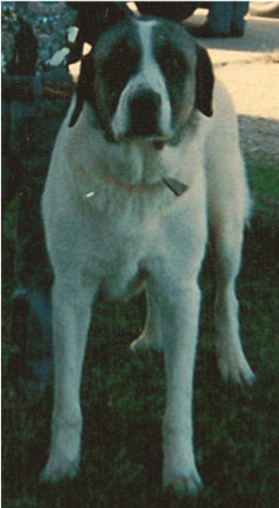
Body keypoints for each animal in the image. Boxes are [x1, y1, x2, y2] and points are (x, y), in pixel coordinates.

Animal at [41, 6, 256, 496]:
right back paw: (153, 337)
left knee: (225, 296)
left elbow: (178, 405)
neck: (135, 182)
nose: (143, 102)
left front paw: (180, 472)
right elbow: (67, 400)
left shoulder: (182, 292)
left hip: (226, 223)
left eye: (174, 64)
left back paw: (233, 362)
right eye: (119, 61)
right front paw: (61, 465)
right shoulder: (70, 294)